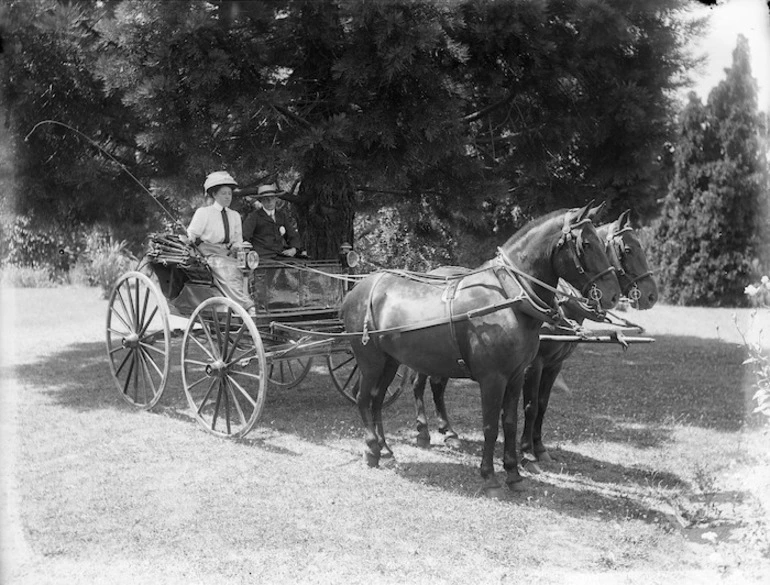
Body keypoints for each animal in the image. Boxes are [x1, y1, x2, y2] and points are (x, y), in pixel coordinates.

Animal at [340, 203, 620, 490]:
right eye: (586, 244)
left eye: (602, 243)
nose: (613, 295)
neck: (510, 297)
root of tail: (358, 288)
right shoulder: (493, 378)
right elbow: (490, 426)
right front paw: (490, 476)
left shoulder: (516, 375)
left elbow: (510, 422)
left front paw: (513, 473)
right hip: (370, 361)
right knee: (363, 398)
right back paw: (372, 449)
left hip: (390, 360)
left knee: (376, 400)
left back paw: (385, 449)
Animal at [412, 210, 656, 466]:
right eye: (628, 249)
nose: (652, 295)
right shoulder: (533, 364)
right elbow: (529, 406)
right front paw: (527, 451)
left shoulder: (554, 365)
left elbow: (542, 404)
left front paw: (539, 448)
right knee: (419, 384)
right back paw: (423, 432)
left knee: (437, 385)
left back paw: (448, 432)